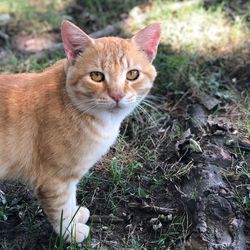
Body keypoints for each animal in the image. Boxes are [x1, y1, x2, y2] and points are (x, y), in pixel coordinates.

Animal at [0, 20, 161, 241]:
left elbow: (70, 198)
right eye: (96, 76)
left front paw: (75, 214)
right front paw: (69, 231)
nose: (117, 95)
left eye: (132, 74)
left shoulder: (68, 178)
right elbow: (60, 209)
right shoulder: (53, 181)